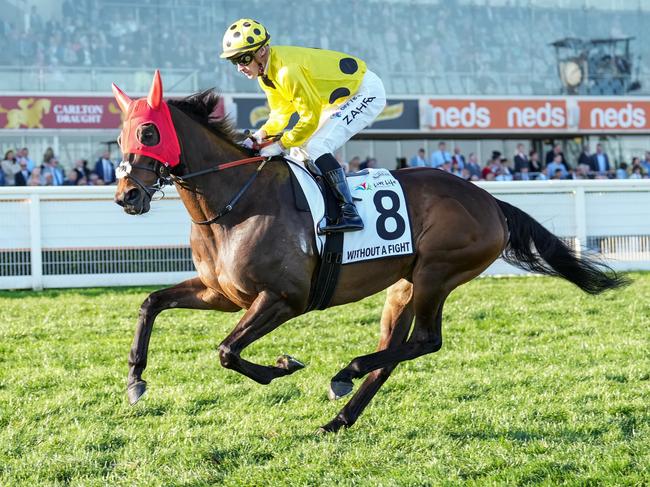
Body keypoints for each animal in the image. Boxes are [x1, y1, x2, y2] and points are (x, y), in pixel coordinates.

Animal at [111, 71, 628, 430]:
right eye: (121, 136)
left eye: (150, 134)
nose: (127, 196)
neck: (235, 201)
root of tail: (489, 201)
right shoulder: (222, 293)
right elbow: (151, 302)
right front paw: (135, 381)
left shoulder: (283, 299)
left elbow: (226, 351)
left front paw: (282, 366)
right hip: (403, 285)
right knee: (395, 352)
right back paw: (340, 416)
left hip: (437, 273)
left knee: (426, 341)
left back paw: (346, 372)